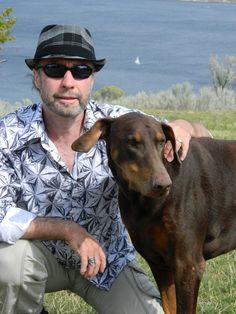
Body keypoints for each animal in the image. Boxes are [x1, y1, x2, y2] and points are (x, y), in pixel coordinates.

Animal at [71, 112, 236, 314]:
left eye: (162, 141)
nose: (164, 185)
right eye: (132, 142)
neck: (143, 203)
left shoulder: (188, 265)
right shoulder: (159, 264)